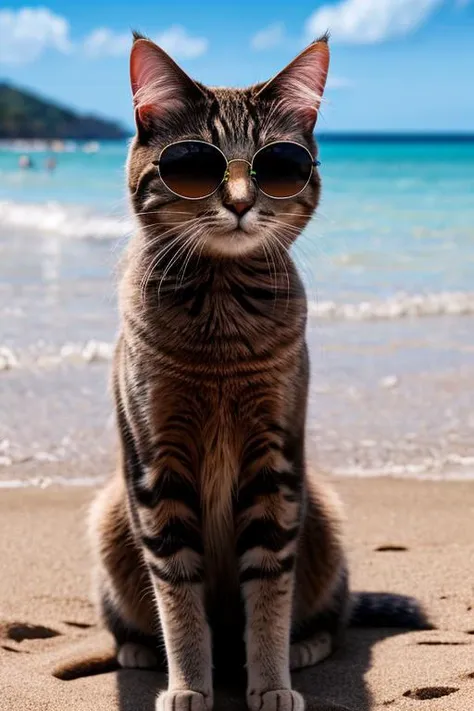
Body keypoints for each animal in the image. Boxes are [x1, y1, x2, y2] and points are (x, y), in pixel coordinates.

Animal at [90, 30, 430, 708]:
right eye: (194, 164)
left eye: (279, 167)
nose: (242, 202)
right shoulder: (156, 470)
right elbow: (178, 597)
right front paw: (188, 685)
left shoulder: (274, 466)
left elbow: (271, 589)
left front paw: (270, 682)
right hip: (112, 513)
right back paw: (141, 650)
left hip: (320, 509)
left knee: (335, 613)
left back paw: (304, 646)